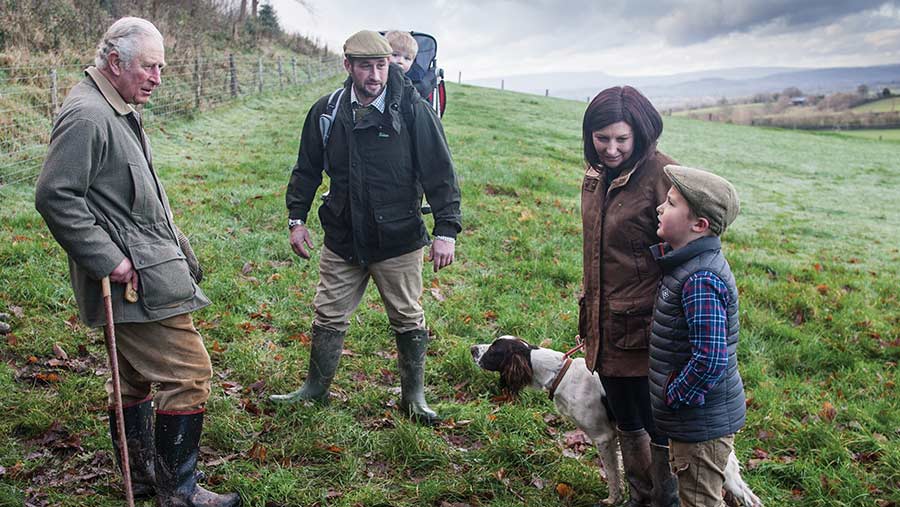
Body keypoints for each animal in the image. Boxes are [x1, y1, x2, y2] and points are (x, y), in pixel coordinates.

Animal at [474, 338, 764, 507]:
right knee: (751, 498)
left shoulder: (603, 436)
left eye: (493, 350)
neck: (559, 373)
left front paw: (613, 499)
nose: (472, 348)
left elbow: (613, 474)